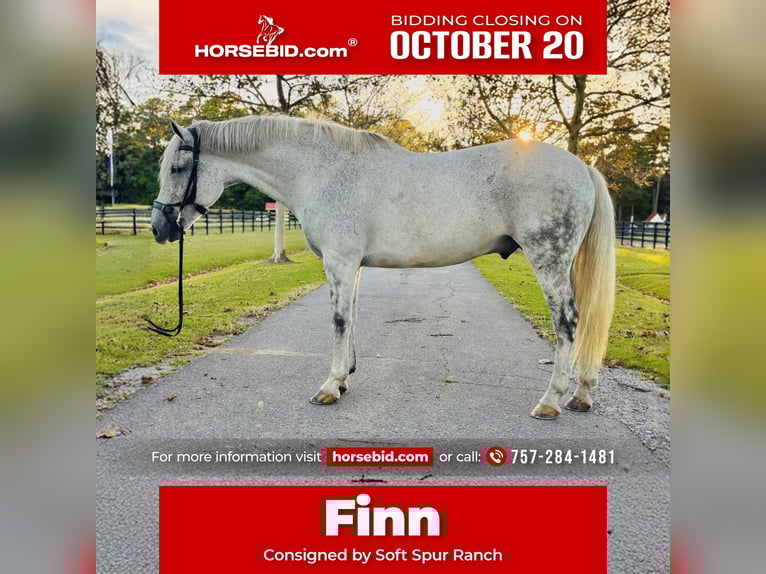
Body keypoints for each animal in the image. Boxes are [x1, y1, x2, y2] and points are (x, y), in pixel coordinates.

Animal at [151, 115, 615, 420]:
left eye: (177, 167)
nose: (158, 227)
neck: (322, 172)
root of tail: (582, 167)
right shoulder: (352, 264)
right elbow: (352, 317)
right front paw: (343, 379)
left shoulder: (339, 261)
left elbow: (339, 321)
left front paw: (329, 387)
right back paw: (582, 395)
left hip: (549, 259)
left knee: (568, 323)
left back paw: (550, 401)